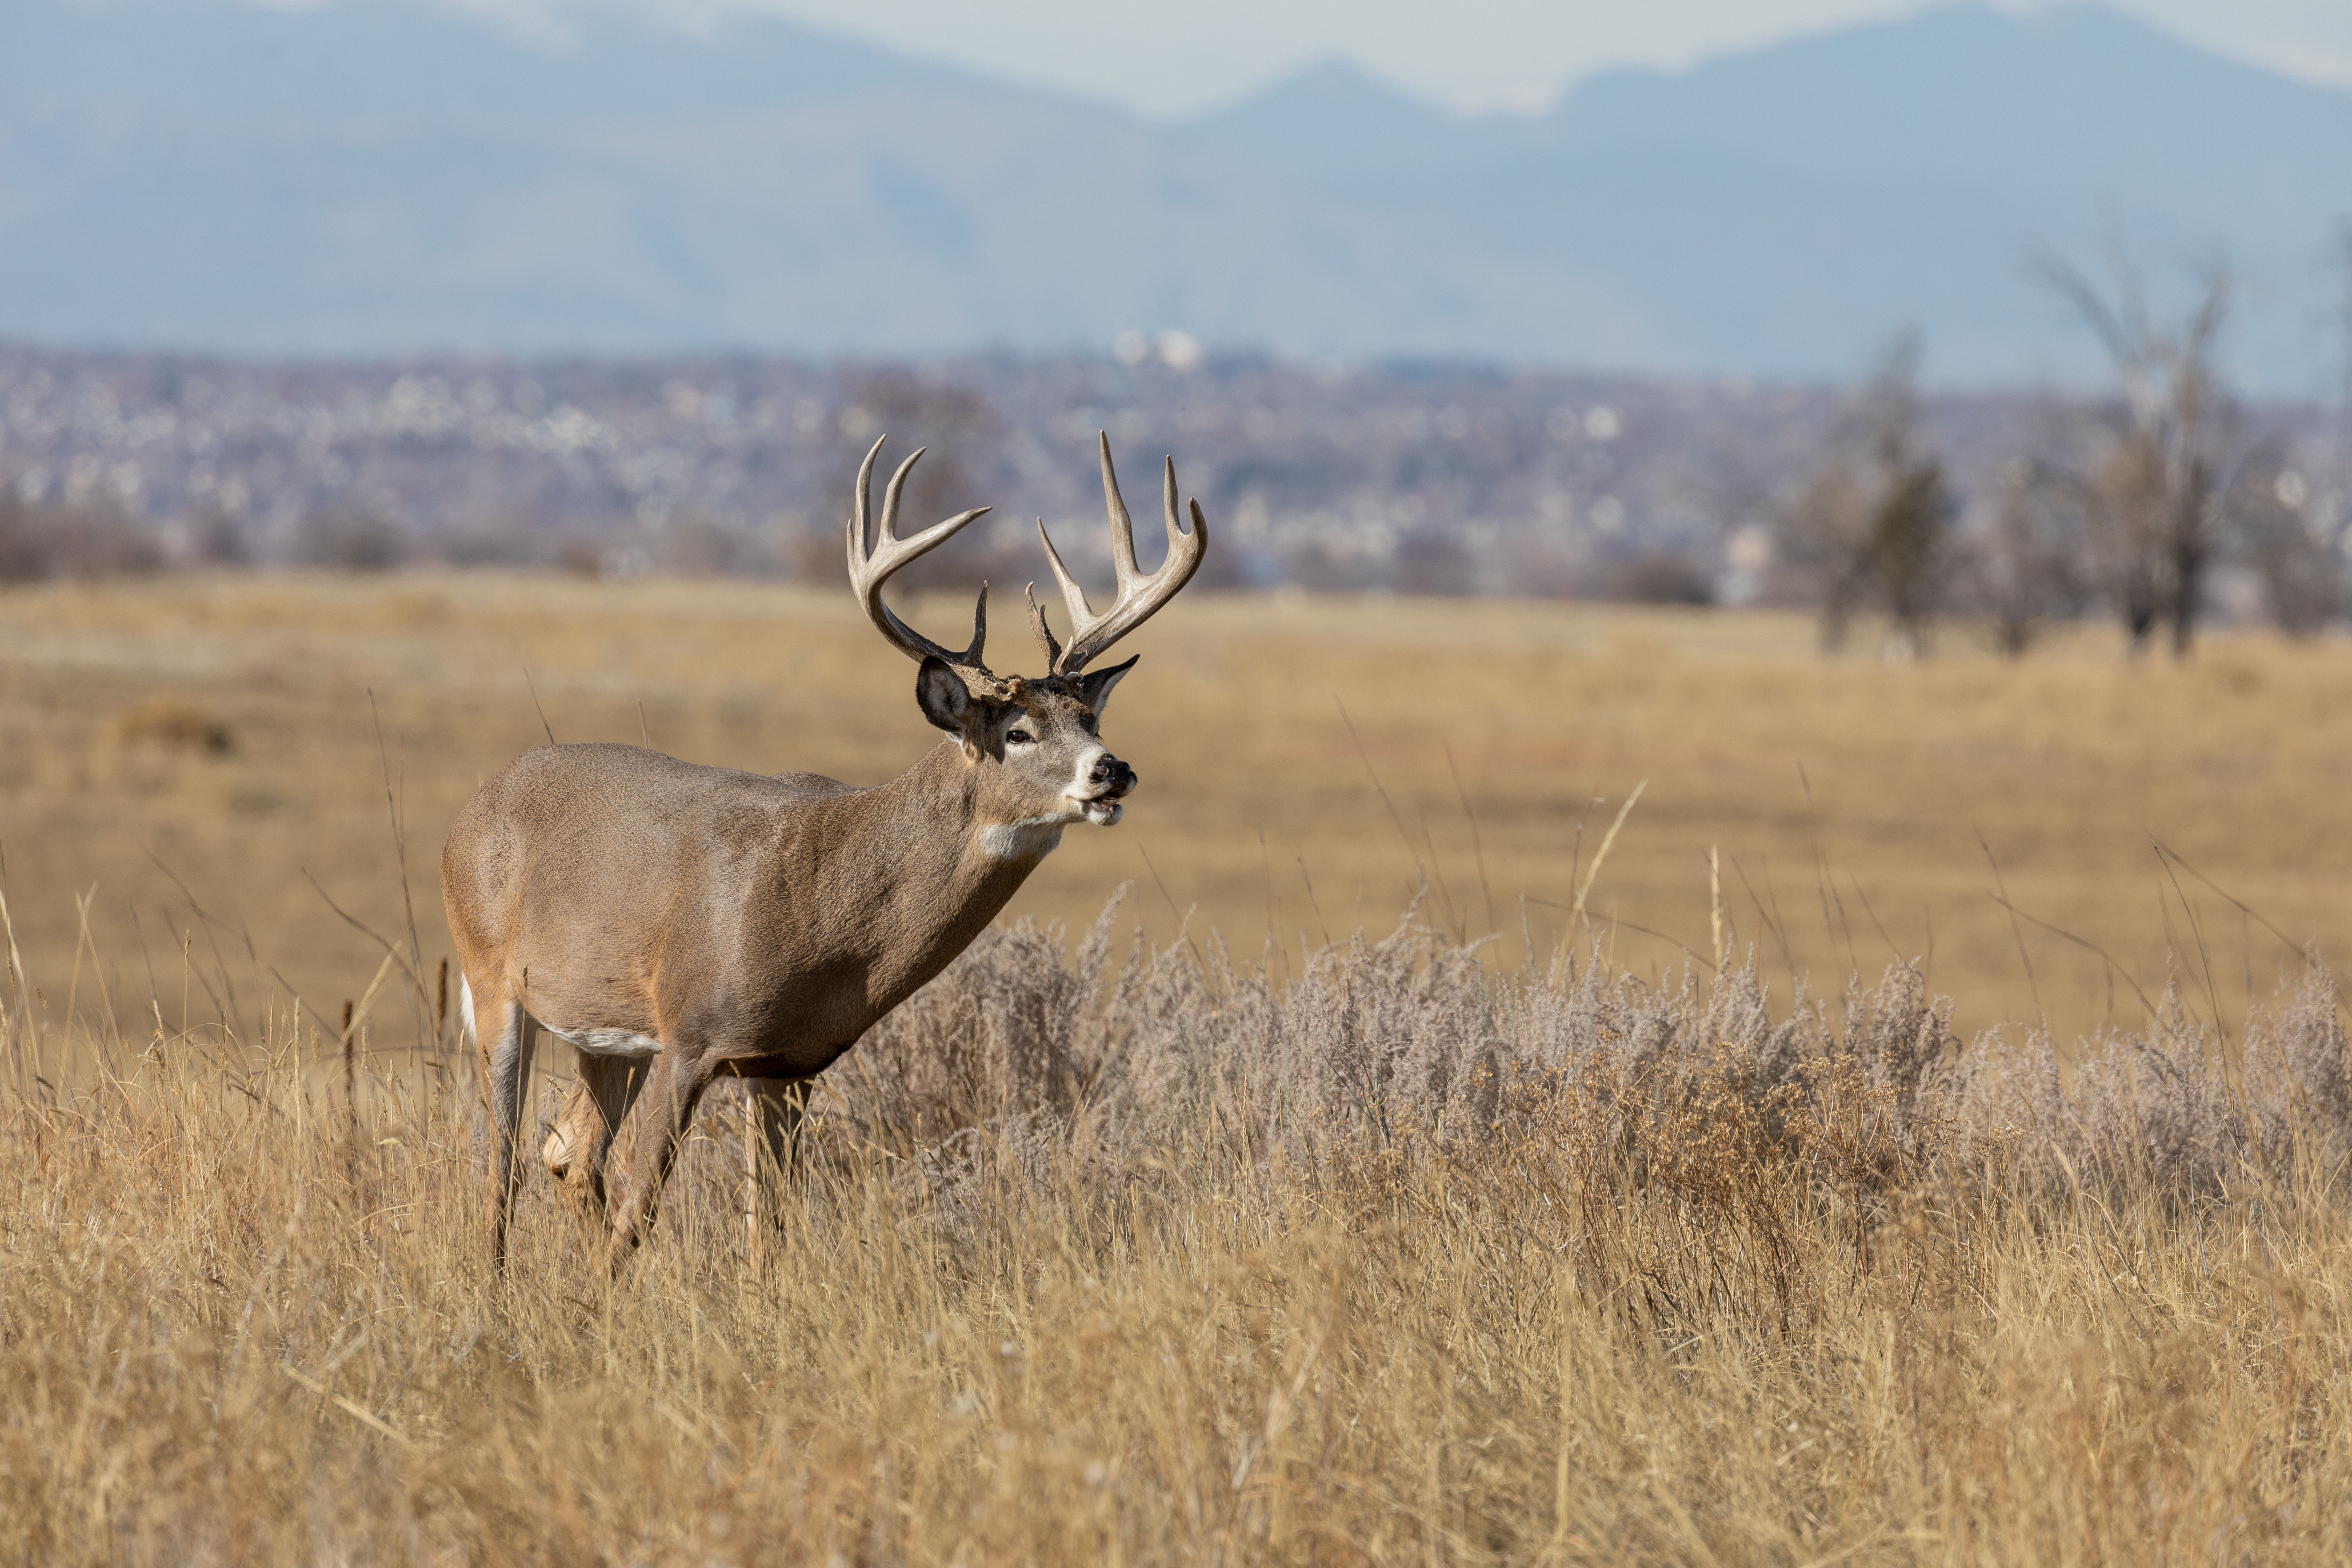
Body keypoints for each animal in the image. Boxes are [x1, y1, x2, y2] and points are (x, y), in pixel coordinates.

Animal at [440, 433, 1207, 1274]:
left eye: (1088, 718)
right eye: (1017, 731)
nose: (1113, 770)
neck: (823, 909)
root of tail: (471, 810)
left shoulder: (787, 1063)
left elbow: (770, 1230)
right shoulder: (691, 1031)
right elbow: (641, 1209)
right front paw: (602, 1305)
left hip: (607, 1034)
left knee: (566, 1150)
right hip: (492, 979)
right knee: (499, 1162)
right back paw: (495, 1285)